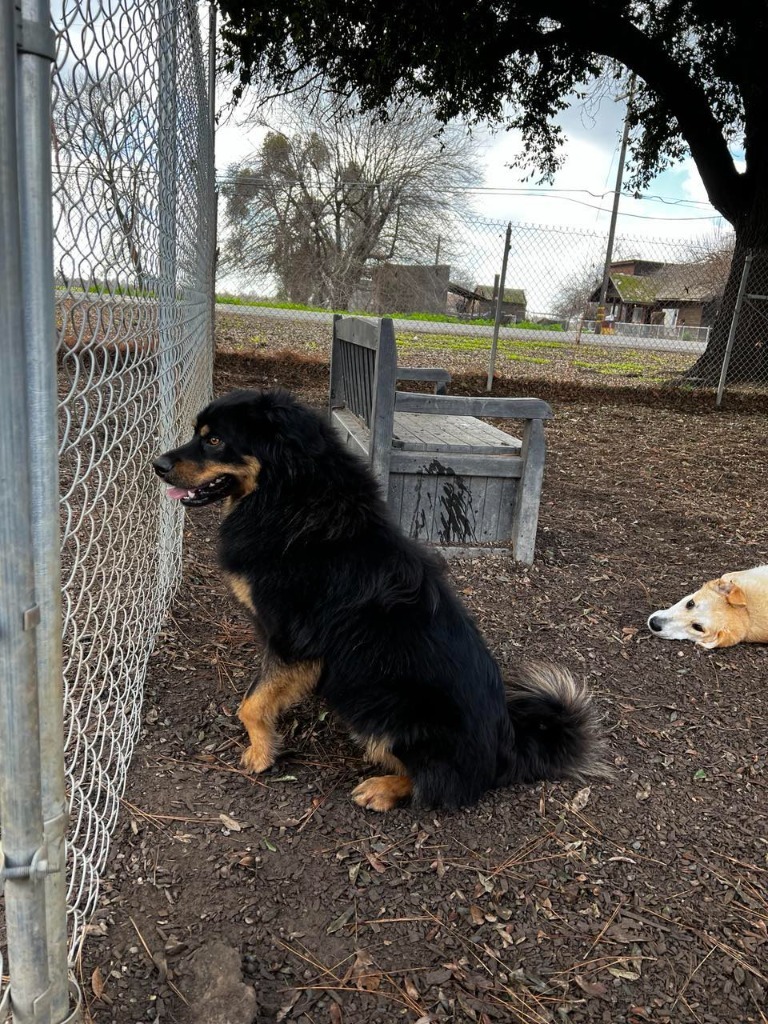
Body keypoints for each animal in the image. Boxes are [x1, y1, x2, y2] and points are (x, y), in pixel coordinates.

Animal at [153, 387, 610, 811]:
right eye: (198, 434)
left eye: (215, 440)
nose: (156, 465)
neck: (289, 493)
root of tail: (507, 750)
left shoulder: (294, 640)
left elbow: (249, 704)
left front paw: (261, 753)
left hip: (381, 709)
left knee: (440, 783)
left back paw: (383, 789)